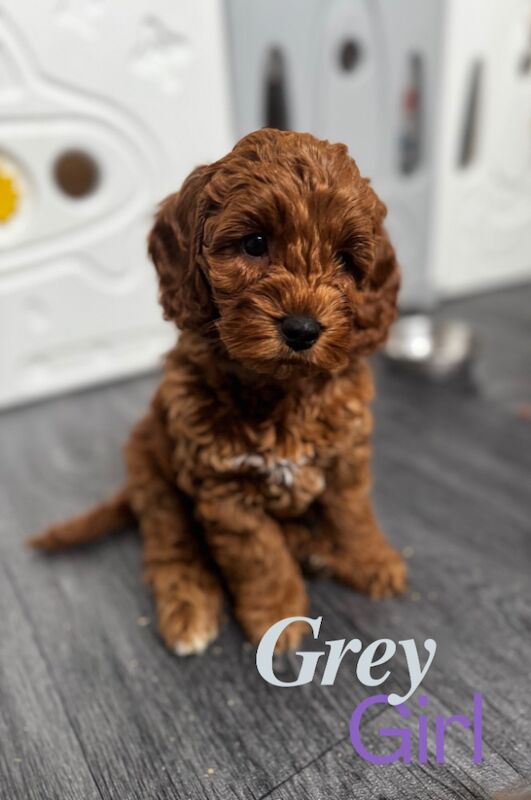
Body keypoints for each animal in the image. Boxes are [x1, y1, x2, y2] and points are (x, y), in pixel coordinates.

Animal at [31, 128, 410, 656]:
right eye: (255, 243)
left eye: (345, 259)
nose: (302, 329)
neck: (279, 392)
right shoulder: (224, 489)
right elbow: (260, 557)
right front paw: (277, 616)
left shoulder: (346, 456)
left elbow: (353, 513)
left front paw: (372, 561)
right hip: (157, 481)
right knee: (172, 548)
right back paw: (189, 609)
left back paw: (314, 547)